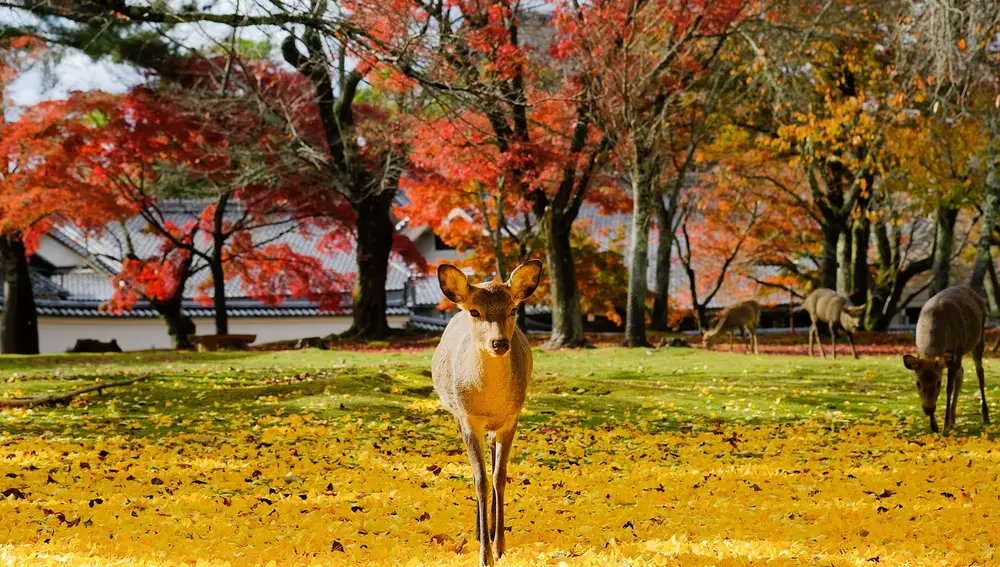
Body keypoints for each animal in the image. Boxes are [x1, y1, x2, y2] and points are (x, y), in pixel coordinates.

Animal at [432, 260, 542, 566]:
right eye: (475, 311)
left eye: (512, 309)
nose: (499, 343)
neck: (491, 401)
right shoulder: (469, 418)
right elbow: (480, 479)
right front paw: (484, 555)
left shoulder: (511, 418)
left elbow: (499, 477)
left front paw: (500, 546)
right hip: (458, 416)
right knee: (475, 474)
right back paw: (480, 531)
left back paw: (491, 531)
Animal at [902, 285, 991, 434]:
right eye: (918, 383)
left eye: (939, 383)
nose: (929, 409)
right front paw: (935, 426)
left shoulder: (957, 351)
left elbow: (949, 388)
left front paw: (945, 428)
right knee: (961, 372)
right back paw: (953, 419)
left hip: (979, 340)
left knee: (980, 372)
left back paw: (985, 417)